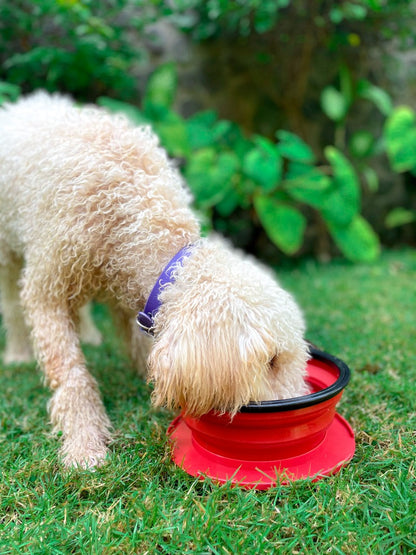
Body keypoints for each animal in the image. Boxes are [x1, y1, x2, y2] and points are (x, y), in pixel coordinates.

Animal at [0, 93, 308, 466]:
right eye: (271, 361)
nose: (296, 405)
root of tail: (24, 103)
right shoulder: (47, 287)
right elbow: (71, 375)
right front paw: (84, 444)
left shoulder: (127, 287)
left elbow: (137, 346)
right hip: (7, 249)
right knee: (11, 303)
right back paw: (17, 352)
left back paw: (87, 332)